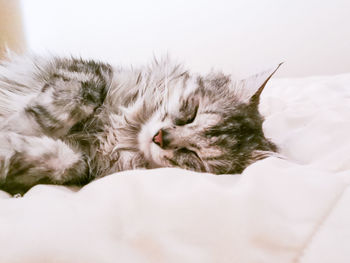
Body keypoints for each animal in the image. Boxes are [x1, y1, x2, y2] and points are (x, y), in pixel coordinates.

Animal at [0, 54, 280, 195]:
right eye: (191, 114)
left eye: (194, 156)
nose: (160, 138)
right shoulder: (88, 72)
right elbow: (74, 100)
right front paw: (19, 123)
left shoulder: (84, 167)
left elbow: (66, 162)